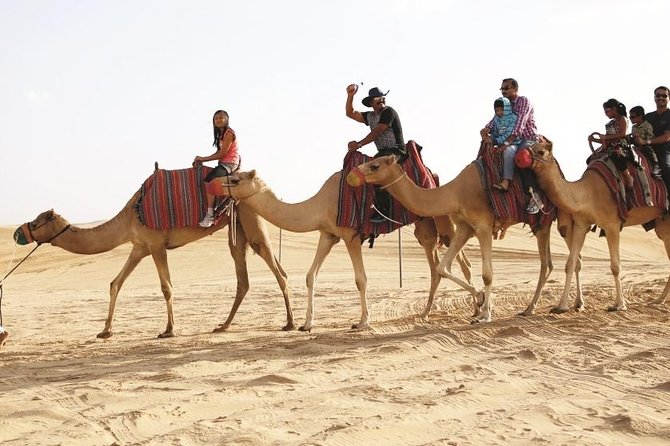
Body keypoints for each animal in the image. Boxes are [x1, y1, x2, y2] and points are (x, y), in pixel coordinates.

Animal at [14, 189, 295, 339]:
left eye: (36, 223)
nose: (17, 232)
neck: (128, 218)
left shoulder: (157, 244)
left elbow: (166, 287)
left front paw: (169, 330)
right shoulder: (139, 247)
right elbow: (115, 283)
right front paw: (105, 331)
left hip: (251, 219)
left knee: (278, 271)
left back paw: (291, 324)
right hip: (237, 228)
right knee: (244, 279)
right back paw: (223, 326)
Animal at [216, 169, 472, 331]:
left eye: (236, 179)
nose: (216, 185)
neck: (319, 204)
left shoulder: (350, 236)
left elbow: (361, 279)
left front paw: (362, 322)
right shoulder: (328, 235)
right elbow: (310, 276)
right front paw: (306, 324)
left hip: (446, 222)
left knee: (463, 264)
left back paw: (475, 310)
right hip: (426, 229)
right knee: (437, 267)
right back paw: (428, 313)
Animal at [349, 155, 582, 322]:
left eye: (375, 165)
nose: (353, 174)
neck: (454, 193)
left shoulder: (483, 226)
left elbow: (487, 274)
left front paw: (485, 314)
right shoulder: (464, 228)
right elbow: (442, 267)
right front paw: (479, 300)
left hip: (550, 220)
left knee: (549, 263)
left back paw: (543, 307)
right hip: (547, 223)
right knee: (566, 261)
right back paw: (564, 305)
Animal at [523, 139, 670, 312]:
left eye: (540, 151)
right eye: (531, 147)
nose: (521, 155)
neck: (588, 192)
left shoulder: (612, 225)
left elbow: (615, 267)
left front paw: (620, 305)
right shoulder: (581, 224)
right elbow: (570, 263)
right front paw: (561, 306)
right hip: (664, 225)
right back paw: (659, 300)